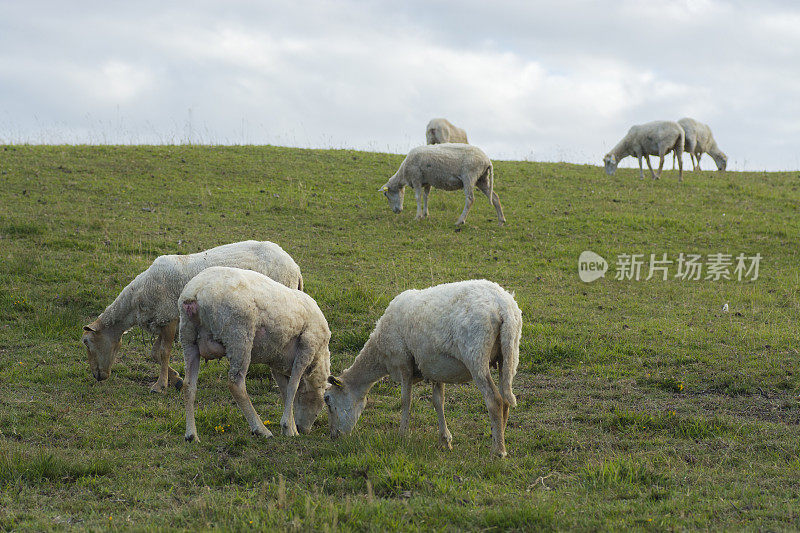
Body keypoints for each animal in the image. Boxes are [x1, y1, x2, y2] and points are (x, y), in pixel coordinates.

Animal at [80, 239, 304, 392]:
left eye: (87, 343)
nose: (97, 376)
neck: (139, 295)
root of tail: (295, 267)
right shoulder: (162, 318)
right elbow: (154, 353)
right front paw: (176, 379)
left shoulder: (169, 316)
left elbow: (163, 352)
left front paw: (160, 385)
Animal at [181, 266, 332, 440]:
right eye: (325, 401)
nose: (303, 429)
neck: (319, 358)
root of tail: (195, 293)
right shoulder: (307, 346)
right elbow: (293, 387)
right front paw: (289, 428)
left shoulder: (277, 361)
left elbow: (286, 391)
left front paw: (290, 426)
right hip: (239, 336)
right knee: (235, 384)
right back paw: (261, 429)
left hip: (188, 339)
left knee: (188, 385)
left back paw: (191, 435)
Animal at [322, 278, 520, 458]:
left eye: (328, 400)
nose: (333, 436)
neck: (380, 353)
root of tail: (503, 305)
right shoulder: (436, 368)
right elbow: (438, 401)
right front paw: (445, 441)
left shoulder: (403, 361)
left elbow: (405, 400)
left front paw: (402, 435)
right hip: (509, 354)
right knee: (505, 400)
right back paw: (500, 438)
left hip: (476, 355)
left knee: (494, 400)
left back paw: (498, 450)